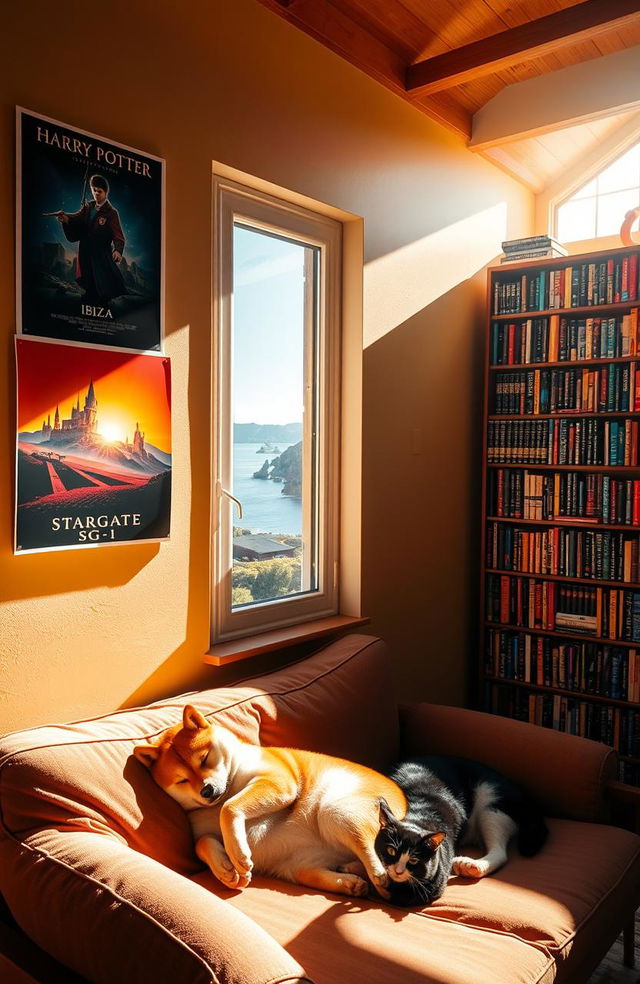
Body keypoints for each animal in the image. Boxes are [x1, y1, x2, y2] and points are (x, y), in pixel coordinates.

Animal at [134, 708, 404, 900]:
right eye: (181, 780)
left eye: (204, 758)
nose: (207, 790)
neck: (230, 786)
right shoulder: (202, 830)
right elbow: (202, 843)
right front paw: (225, 868)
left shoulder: (278, 782)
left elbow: (229, 808)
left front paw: (238, 853)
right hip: (297, 864)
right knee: (314, 871)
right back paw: (350, 881)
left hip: (335, 811)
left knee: (371, 851)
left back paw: (377, 874)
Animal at [372, 756, 548, 912]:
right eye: (390, 851)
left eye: (415, 861)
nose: (398, 871)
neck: (418, 813)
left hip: (491, 801)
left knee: (500, 852)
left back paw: (471, 865)